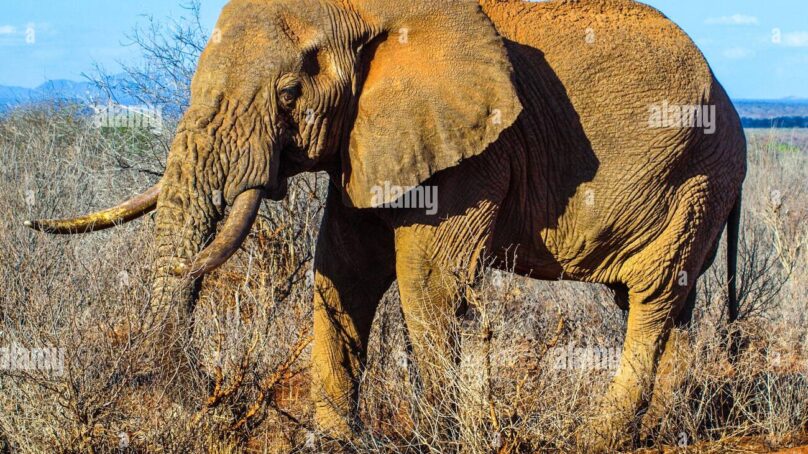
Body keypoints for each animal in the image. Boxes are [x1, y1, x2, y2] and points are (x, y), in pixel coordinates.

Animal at [26, 0, 746, 449]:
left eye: (289, 93)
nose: (199, 391)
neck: (376, 12)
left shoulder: (474, 150)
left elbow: (428, 282)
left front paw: (445, 436)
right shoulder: (370, 138)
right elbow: (342, 269)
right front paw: (333, 442)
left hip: (697, 176)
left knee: (652, 298)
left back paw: (600, 438)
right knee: (665, 304)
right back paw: (672, 429)